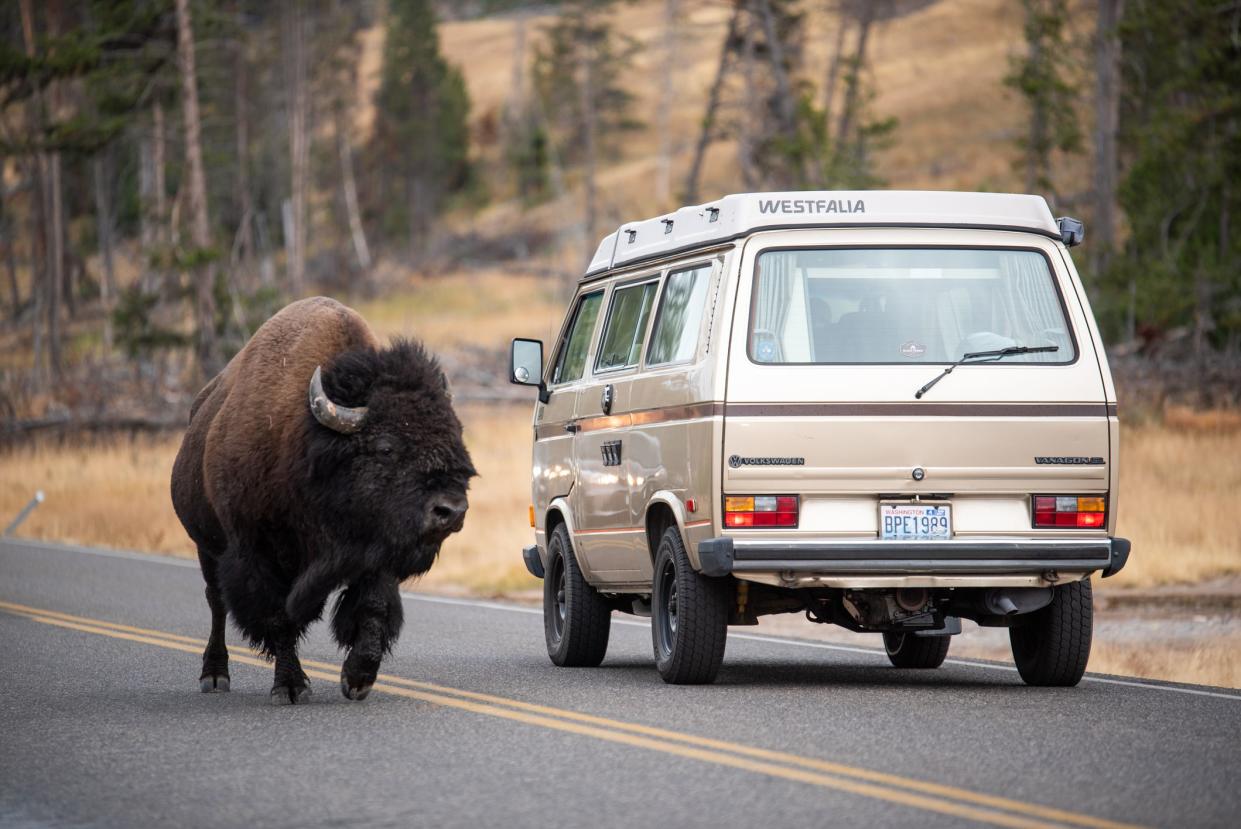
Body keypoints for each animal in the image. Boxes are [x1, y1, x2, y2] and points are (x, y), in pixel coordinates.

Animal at [177, 294, 476, 704]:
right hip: (207, 546)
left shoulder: (376, 553)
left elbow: (373, 607)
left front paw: (358, 679)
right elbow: (280, 618)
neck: (306, 442)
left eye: (454, 440)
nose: (450, 510)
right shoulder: (259, 554)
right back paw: (214, 676)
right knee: (217, 602)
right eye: (385, 447)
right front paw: (290, 687)